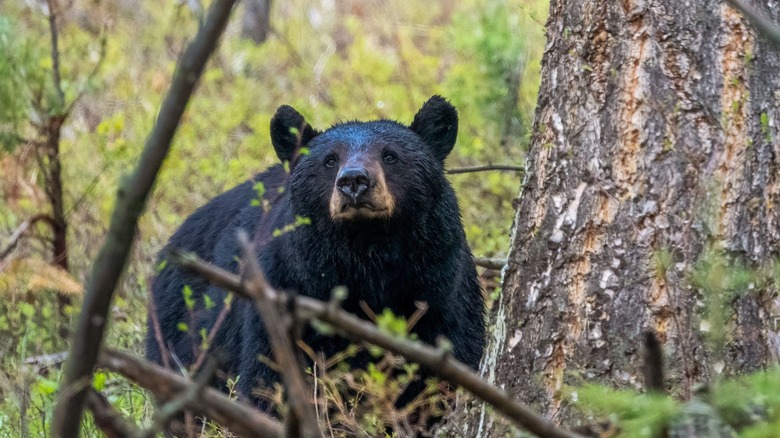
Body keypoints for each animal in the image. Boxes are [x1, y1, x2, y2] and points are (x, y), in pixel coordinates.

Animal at [145, 96, 484, 418]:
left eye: (390, 155)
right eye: (330, 160)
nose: (354, 181)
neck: (367, 252)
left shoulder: (440, 283)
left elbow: (451, 358)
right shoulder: (287, 284)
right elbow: (269, 374)